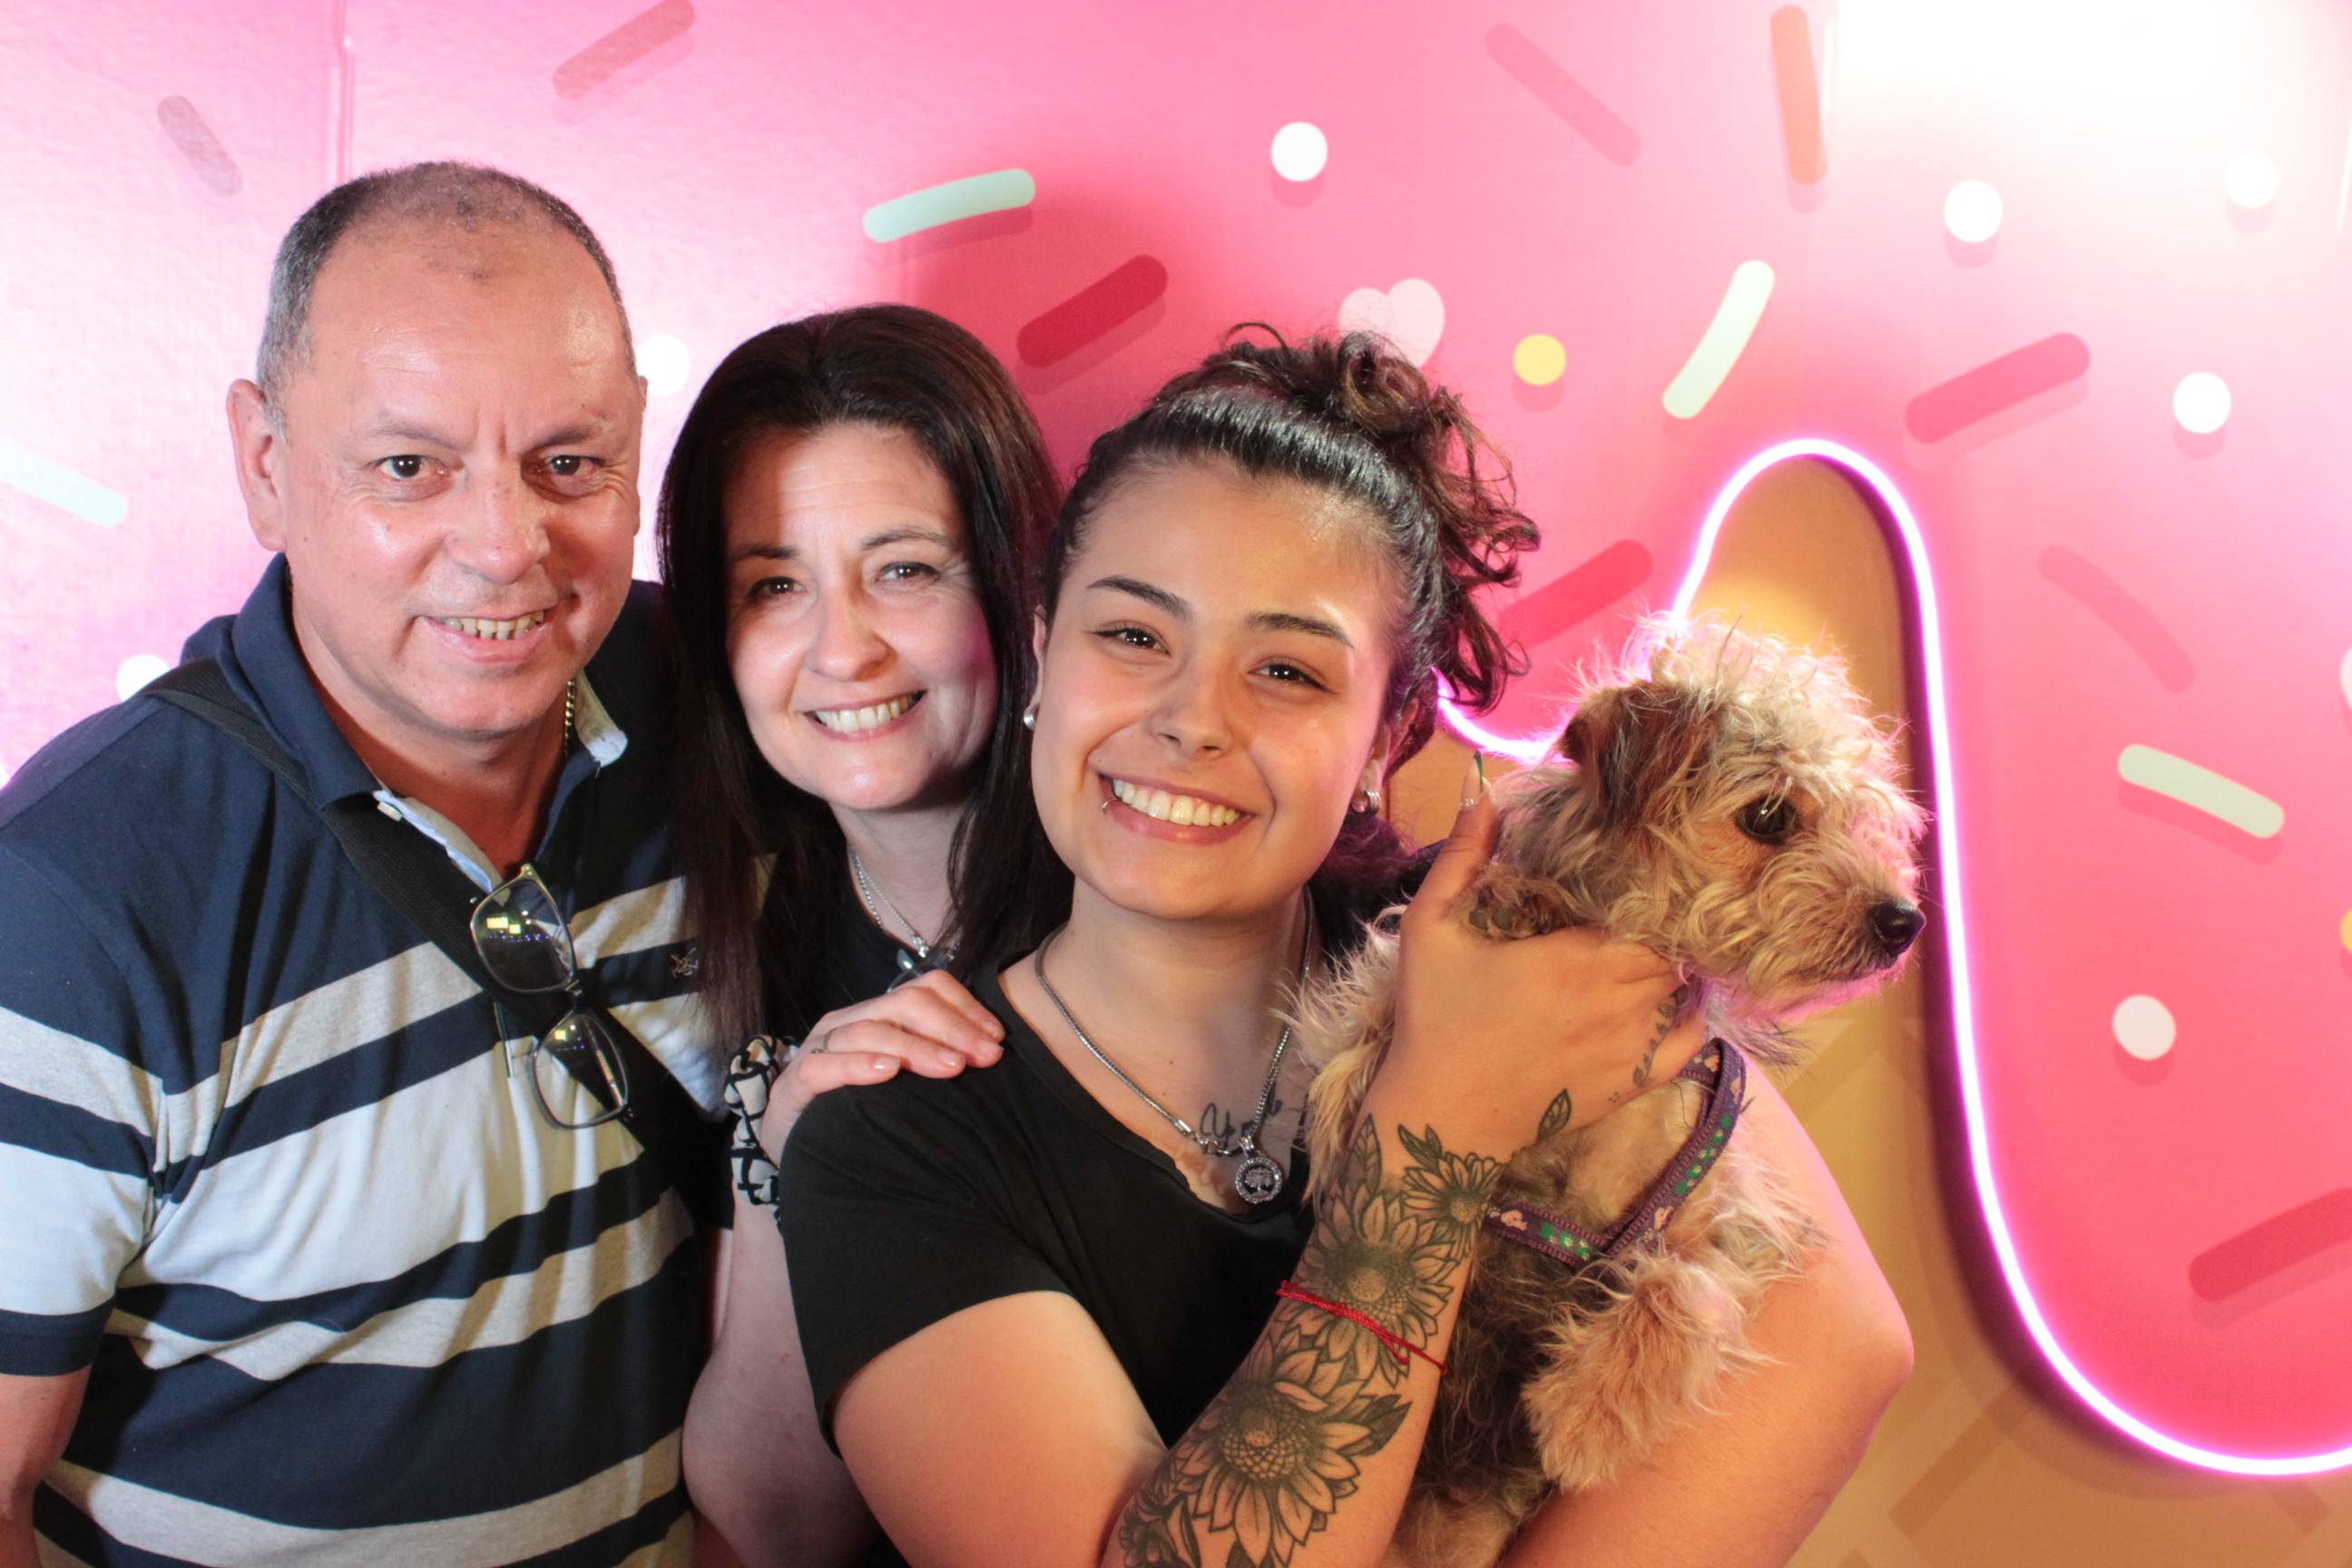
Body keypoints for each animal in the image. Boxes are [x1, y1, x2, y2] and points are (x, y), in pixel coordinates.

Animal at [1296, 612, 1928, 1566]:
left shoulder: (1729, 1212)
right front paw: (1515, 896)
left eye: (1861, 818)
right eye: (1770, 815)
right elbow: (1359, 1044)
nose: (1905, 922)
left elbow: (1685, 1288)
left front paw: (1588, 1416)